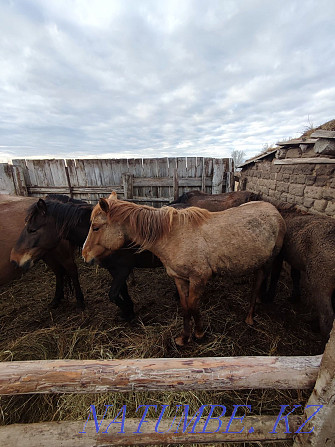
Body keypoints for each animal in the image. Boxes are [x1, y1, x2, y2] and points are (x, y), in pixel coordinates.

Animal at [9, 195, 162, 318]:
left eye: (32, 230)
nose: (14, 259)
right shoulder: (115, 270)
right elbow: (122, 291)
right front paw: (128, 311)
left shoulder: (123, 270)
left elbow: (112, 294)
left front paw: (128, 312)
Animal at [83, 195, 286, 346]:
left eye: (96, 227)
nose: (85, 256)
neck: (173, 236)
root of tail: (274, 210)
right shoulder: (179, 279)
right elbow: (185, 307)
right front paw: (184, 337)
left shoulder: (199, 279)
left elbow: (194, 306)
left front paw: (199, 334)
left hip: (269, 261)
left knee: (259, 282)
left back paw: (250, 316)